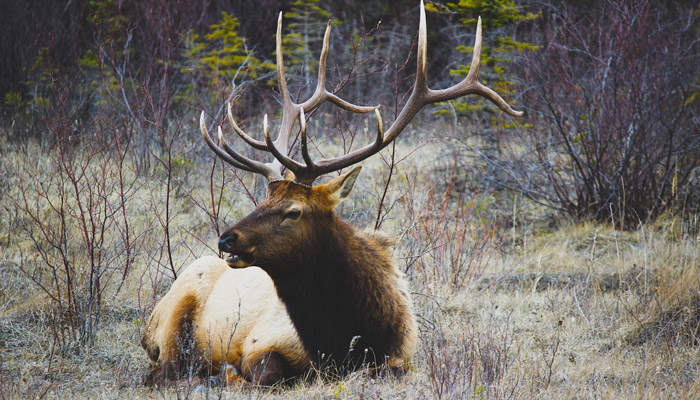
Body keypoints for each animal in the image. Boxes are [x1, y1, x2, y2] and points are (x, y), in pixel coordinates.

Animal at [141, 0, 520, 386]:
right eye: (264, 200)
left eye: (293, 211)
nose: (226, 239)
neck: (347, 337)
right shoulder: (261, 341)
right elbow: (259, 373)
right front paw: (226, 373)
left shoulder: (401, 358)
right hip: (173, 317)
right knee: (162, 370)